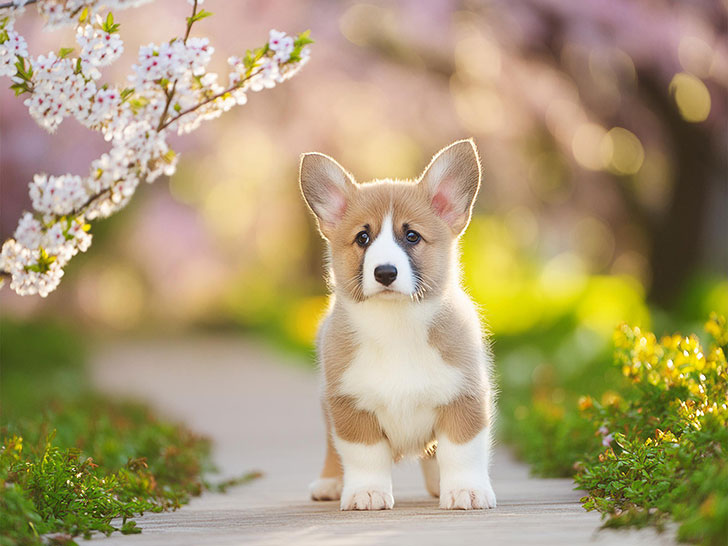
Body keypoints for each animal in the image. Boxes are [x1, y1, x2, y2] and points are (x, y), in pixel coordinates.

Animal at [300, 138, 494, 508]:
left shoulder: (463, 398)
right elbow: (364, 455)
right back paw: (331, 482)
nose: (385, 273)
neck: (396, 326)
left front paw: (465, 490)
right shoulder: (349, 405)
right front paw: (366, 492)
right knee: (332, 447)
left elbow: (461, 452)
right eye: (363, 238)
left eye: (412, 236)